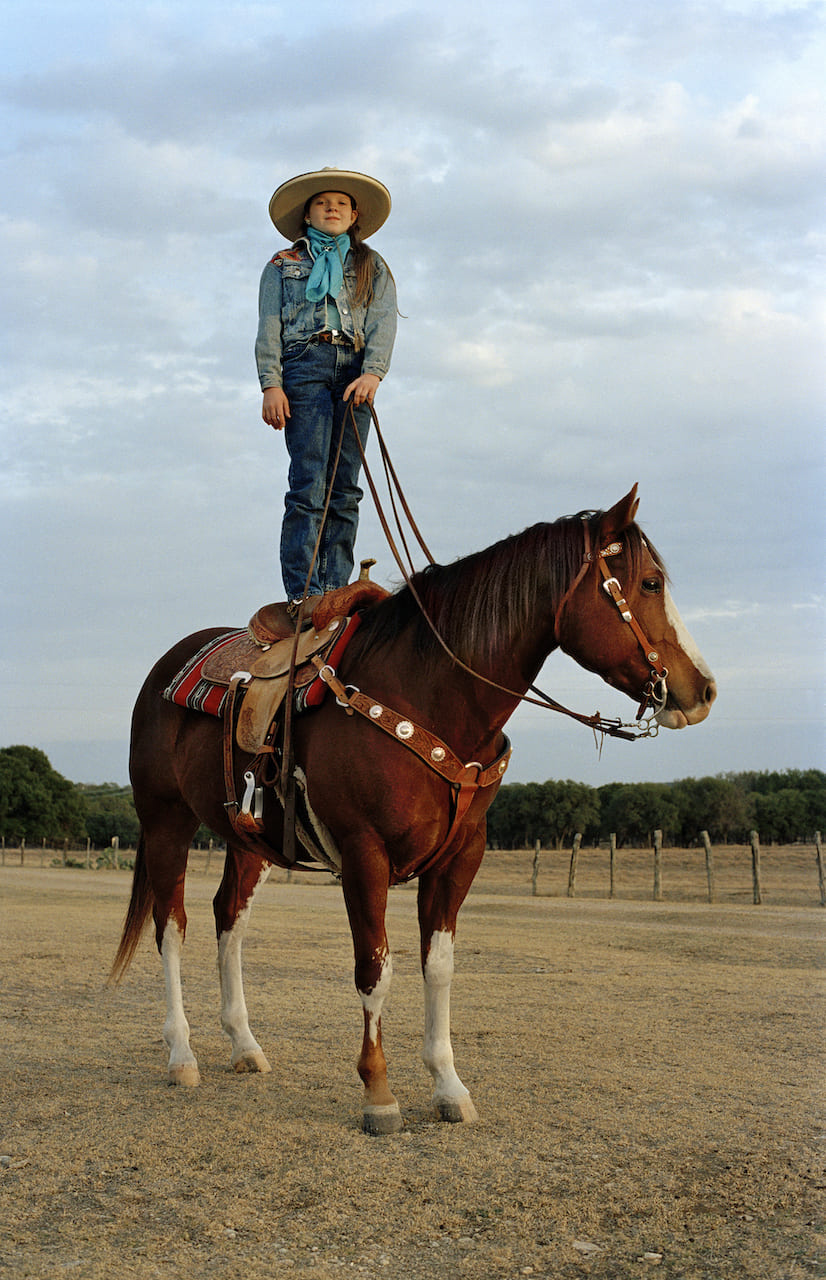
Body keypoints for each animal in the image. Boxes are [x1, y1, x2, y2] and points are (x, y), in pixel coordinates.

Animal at [109, 483, 717, 1136]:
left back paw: (245, 1045)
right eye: (650, 583)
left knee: (229, 919)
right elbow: (375, 968)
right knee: (171, 925)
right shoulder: (363, 854)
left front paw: (449, 1086)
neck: (428, 691)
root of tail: (166, 667)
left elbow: (438, 967)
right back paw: (181, 1054)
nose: (703, 690)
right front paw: (378, 1093)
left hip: (249, 840)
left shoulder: (460, 856)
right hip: (165, 820)